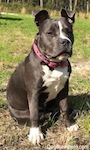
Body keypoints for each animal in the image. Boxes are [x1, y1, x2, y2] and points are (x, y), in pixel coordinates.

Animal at [6, 9, 79, 145]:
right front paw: (35, 134)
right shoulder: (34, 93)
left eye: (68, 31)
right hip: (21, 113)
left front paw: (69, 125)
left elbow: (64, 108)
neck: (53, 64)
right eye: (50, 33)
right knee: (41, 115)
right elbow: (34, 114)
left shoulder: (64, 89)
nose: (65, 41)